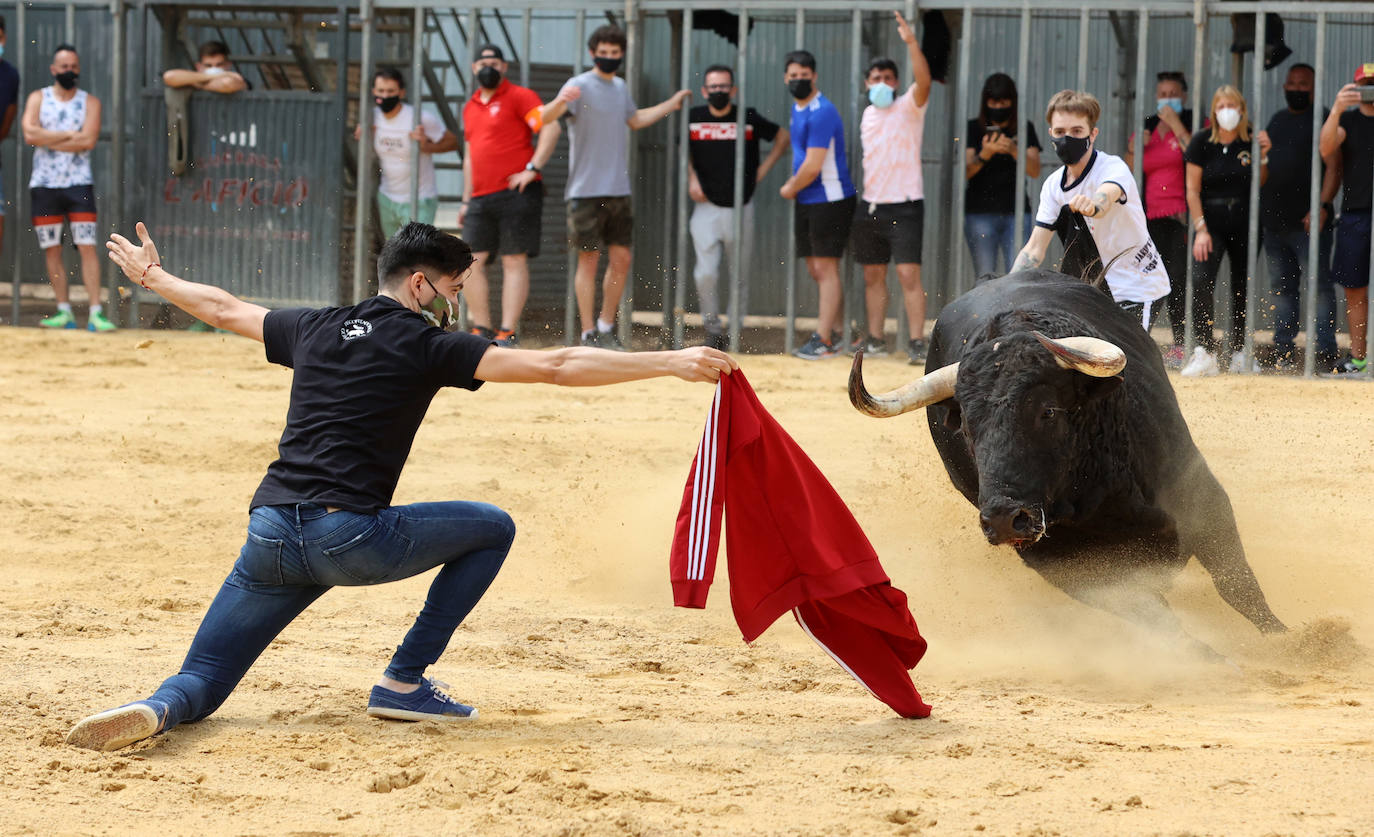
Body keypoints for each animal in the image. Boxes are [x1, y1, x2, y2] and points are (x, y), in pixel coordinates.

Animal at [846, 270, 1286, 643]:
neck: (1098, 489)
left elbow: (1235, 580)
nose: (1004, 519)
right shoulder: (1060, 564)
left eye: (1048, 411)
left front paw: (1284, 641)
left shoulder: (1199, 494)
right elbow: (1150, 612)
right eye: (967, 427)